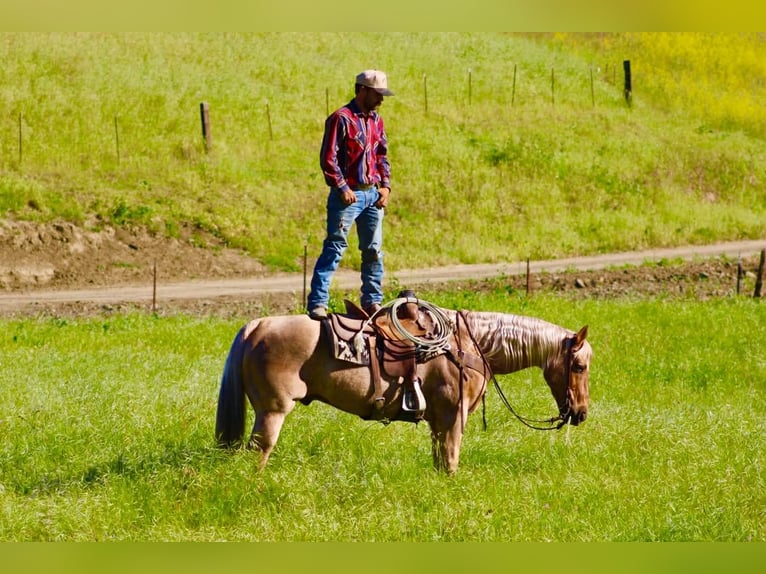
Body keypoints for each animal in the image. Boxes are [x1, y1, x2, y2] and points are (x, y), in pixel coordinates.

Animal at [215, 299, 592, 474]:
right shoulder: (453, 418)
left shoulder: (438, 422)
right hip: (273, 411)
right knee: (258, 451)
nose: (581, 413)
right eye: (579, 365)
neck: (470, 344)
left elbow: (440, 460)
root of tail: (258, 325)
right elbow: (451, 461)